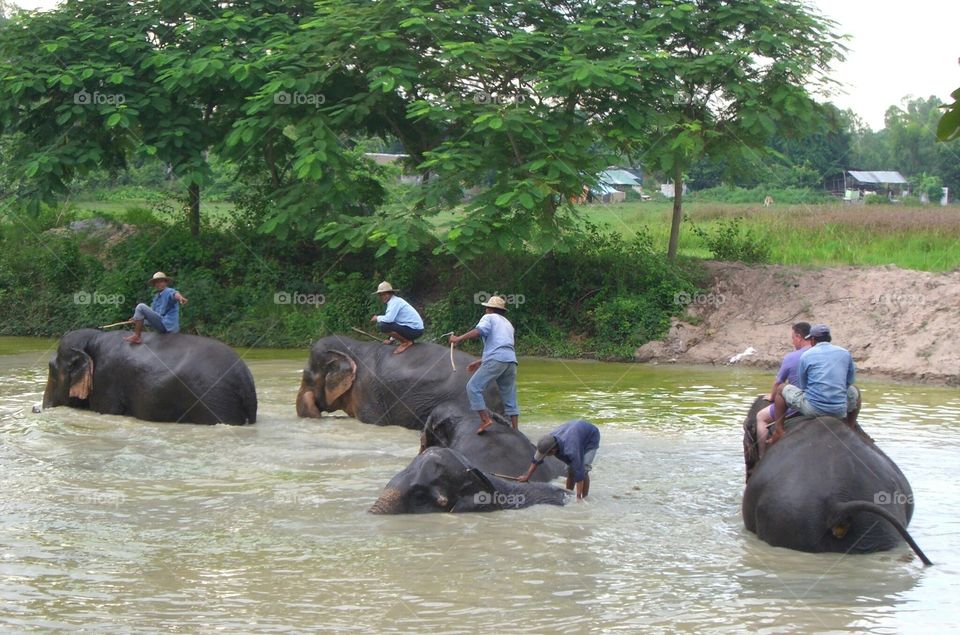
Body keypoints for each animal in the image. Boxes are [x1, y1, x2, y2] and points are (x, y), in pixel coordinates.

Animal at [43, 330, 256, 424]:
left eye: (51, 369)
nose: (38, 409)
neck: (94, 338)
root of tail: (245, 379)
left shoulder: (106, 382)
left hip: (214, 403)